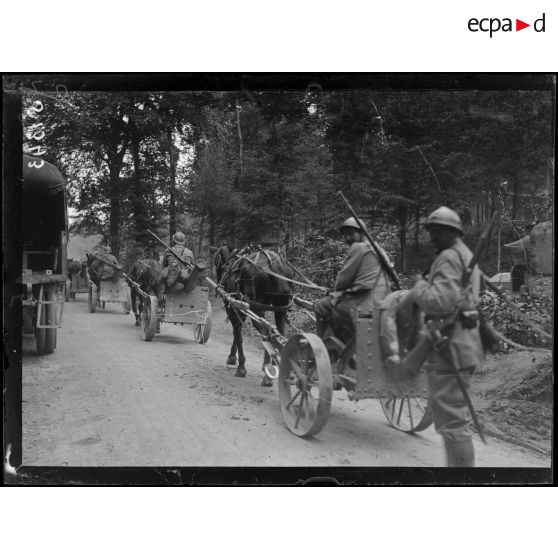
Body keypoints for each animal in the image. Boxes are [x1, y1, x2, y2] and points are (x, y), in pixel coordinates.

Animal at [214, 245, 296, 390]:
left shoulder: (232, 308)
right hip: (280, 308)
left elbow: (237, 332)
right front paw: (234, 358)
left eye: (215, 260)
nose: (218, 277)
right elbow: (238, 331)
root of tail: (273, 263)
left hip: (257, 308)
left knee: (267, 333)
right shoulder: (241, 307)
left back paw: (268, 374)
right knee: (279, 333)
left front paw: (239, 365)